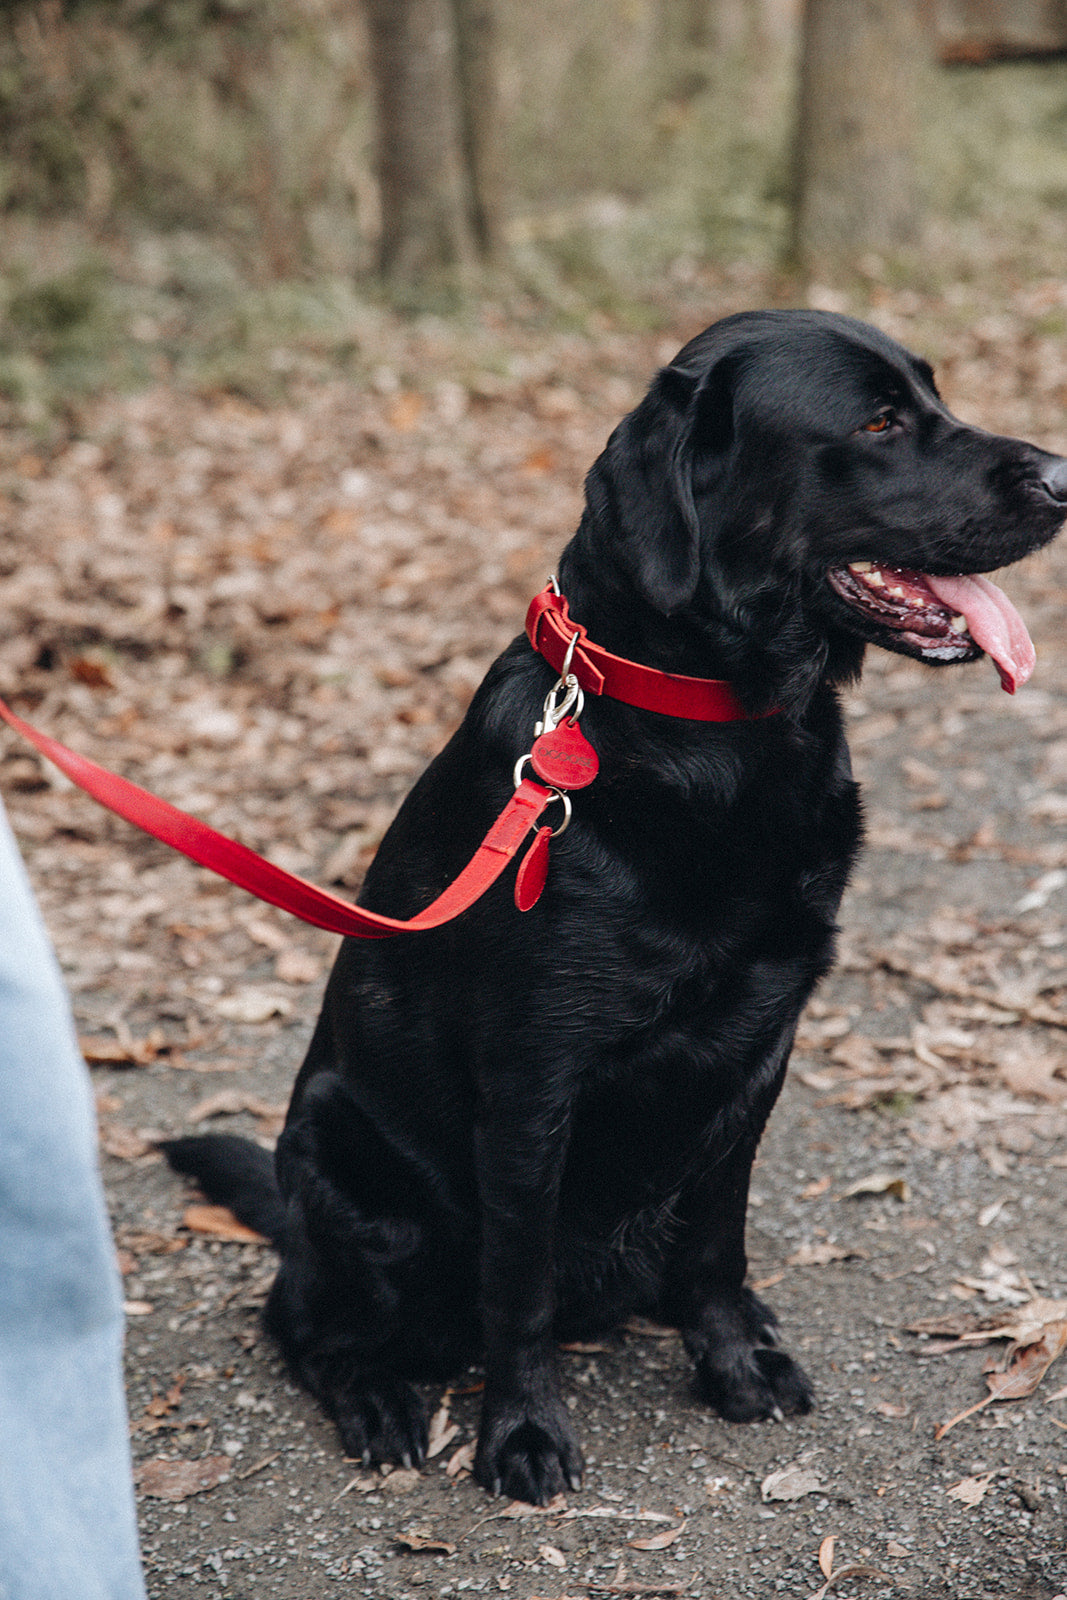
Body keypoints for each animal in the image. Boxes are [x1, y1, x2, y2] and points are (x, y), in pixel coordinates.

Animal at [164, 315, 1067, 1510]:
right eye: (877, 422)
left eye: (933, 397)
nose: (1064, 478)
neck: (718, 733)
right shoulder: (533, 1082)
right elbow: (518, 1287)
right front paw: (520, 1432)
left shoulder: (760, 1048)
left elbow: (719, 1242)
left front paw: (733, 1361)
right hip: (346, 1172)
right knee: (303, 1321)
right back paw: (377, 1398)